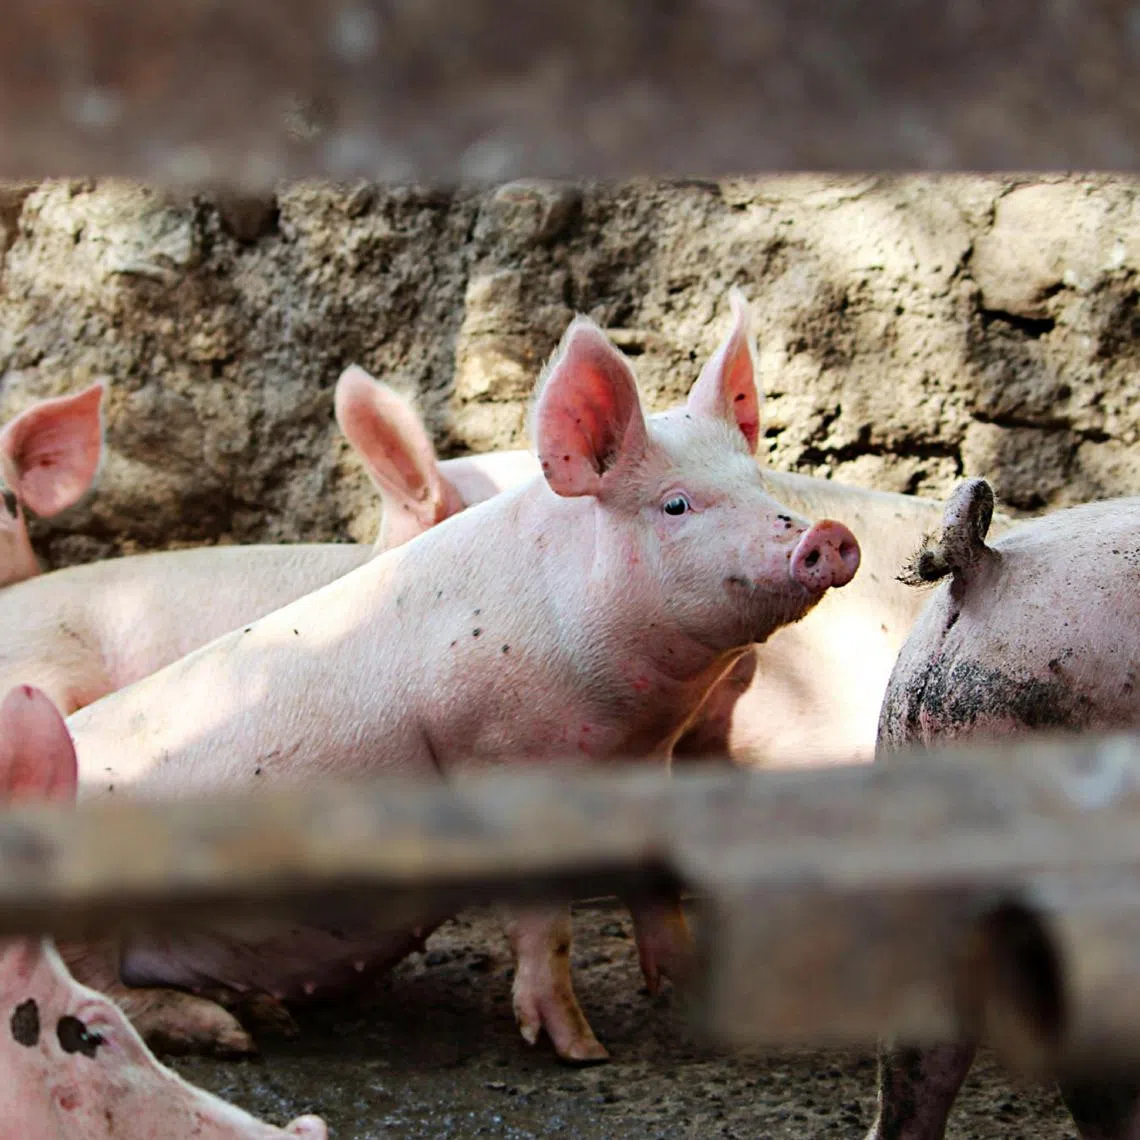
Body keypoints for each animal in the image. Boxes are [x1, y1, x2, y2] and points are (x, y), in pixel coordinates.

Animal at [61, 292, 860, 1064]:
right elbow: (544, 921)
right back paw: (232, 1036)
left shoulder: (645, 763)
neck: (624, 725)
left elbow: (657, 881)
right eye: (676, 504)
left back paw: (262, 1016)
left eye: (759, 485)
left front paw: (690, 1000)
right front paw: (582, 1052)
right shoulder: (501, 756)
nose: (826, 535)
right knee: (100, 991)